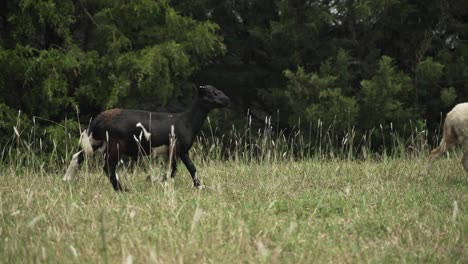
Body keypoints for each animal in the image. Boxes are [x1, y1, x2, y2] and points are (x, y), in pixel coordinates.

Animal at [62, 85, 230, 191]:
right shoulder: (175, 148)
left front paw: (199, 186)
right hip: (115, 145)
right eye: (213, 93)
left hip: (96, 142)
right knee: (108, 168)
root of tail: (98, 119)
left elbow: (191, 168)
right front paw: (158, 182)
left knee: (77, 156)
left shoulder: (182, 150)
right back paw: (122, 190)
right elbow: (173, 170)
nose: (227, 100)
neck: (186, 121)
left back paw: (66, 179)